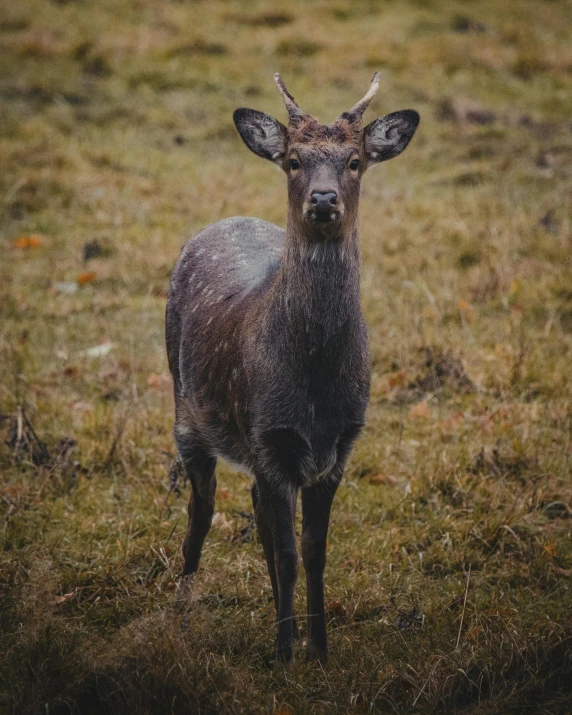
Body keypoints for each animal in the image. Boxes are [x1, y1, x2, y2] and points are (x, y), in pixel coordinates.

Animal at [165, 74, 420, 664]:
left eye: (355, 161)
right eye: (294, 160)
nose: (323, 199)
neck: (313, 389)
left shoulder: (338, 446)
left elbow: (313, 550)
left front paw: (319, 648)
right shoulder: (267, 434)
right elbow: (286, 550)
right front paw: (284, 652)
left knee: (256, 514)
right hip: (187, 413)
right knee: (201, 510)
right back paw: (182, 607)